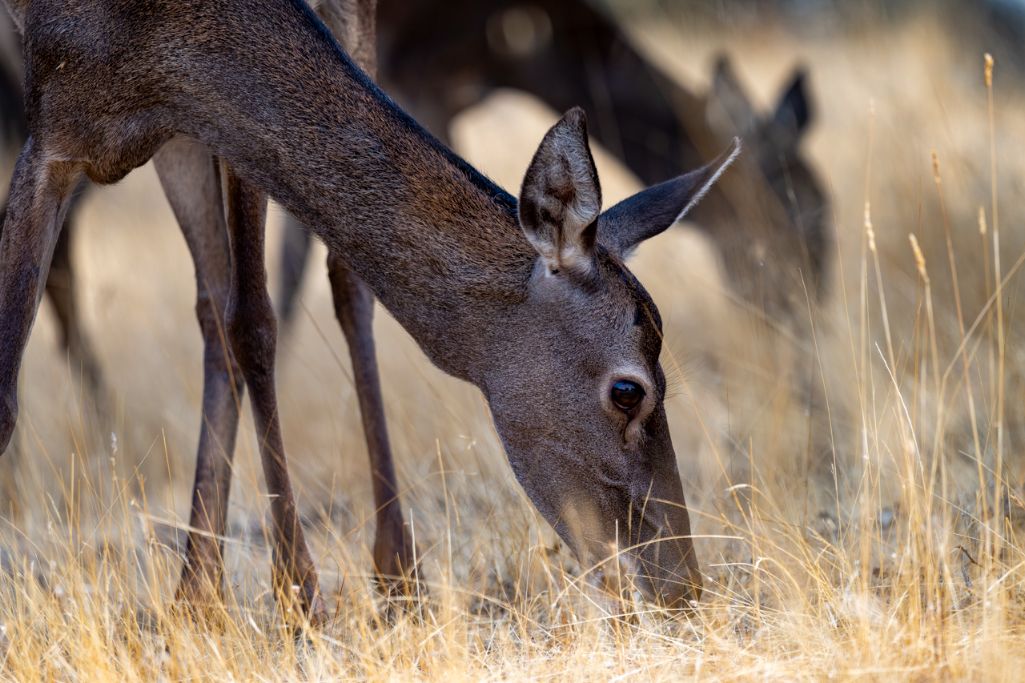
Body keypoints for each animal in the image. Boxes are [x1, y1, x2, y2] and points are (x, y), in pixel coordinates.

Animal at [0, 0, 738, 625]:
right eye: (627, 391)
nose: (682, 586)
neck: (145, 50)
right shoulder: (54, 124)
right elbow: (9, 394)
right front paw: (298, 594)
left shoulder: (194, 128)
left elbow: (251, 317)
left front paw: (297, 592)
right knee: (224, 309)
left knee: (272, 301)